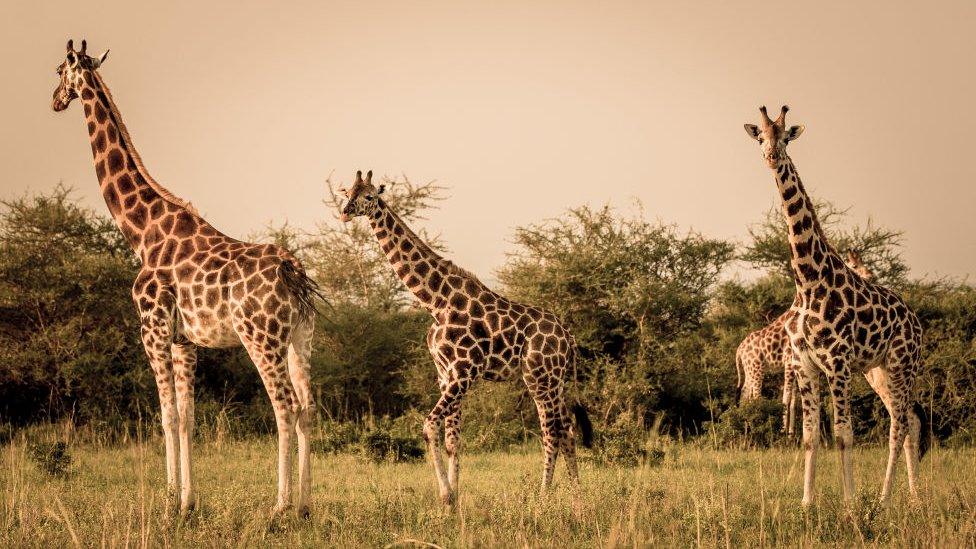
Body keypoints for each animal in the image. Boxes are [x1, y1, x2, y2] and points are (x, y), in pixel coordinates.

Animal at [51, 40, 320, 516]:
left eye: (60, 71)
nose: (54, 99)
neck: (143, 233)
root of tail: (293, 272)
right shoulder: (185, 340)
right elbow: (189, 418)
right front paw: (187, 503)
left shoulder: (152, 327)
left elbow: (167, 415)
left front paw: (167, 504)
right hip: (300, 337)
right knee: (307, 406)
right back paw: (305, 506)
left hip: (260, 337)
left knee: (285, 406)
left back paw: (279, 508)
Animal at [336, 170, 596, 506]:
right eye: (348, 192)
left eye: (369, 196)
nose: (345, 212)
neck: (436, 302)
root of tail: (569, 337)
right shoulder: (445, 374)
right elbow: (453, 439)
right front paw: (455, 497)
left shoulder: (464, 372)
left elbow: (430, 426)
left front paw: (446, 494)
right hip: (557, 380)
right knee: (567, 430)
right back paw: (577, 496)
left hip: (539, 378)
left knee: (551, 432)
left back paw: (543, 497)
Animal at [744, 107, 928, 506]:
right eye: (761, 137)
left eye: (785, 138)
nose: (771, 157)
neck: (808, 281)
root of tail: (915, 319)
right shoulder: (806, 366)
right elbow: (810, 436)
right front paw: (806, 503)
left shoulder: (838, 364)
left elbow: (844, 435)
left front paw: (850, 503)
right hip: (877, 371)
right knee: (908, 419)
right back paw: (912, 496)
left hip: (902, 363)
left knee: (899, 423)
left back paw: (884, 499)